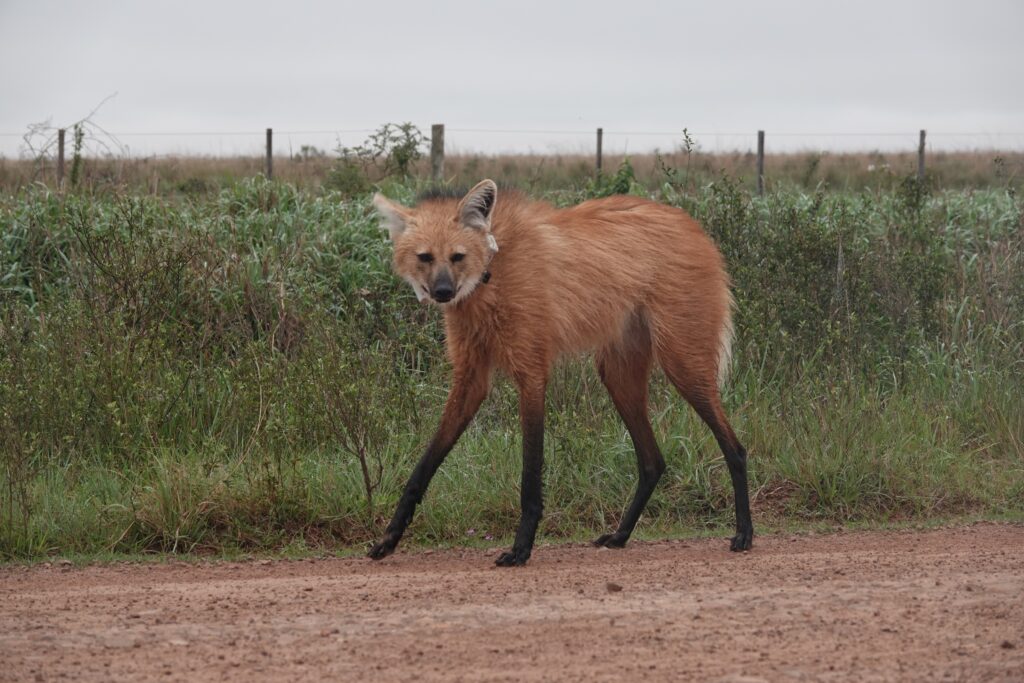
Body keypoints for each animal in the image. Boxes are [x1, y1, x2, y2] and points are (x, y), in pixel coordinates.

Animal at [368, 180, 753, 565]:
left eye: (457, 257)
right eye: (425, 257)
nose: (443, 292)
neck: (492, 272)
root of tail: (695, 226)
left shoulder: (531, 372)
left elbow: (530, 474)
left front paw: (520, 549)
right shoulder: (470, 377)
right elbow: (423, 467)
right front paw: (388, 540)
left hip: (681, 362)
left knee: (734, 448)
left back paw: (744, 534)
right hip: (617, 374)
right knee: (652, 461)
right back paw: (620, 535)